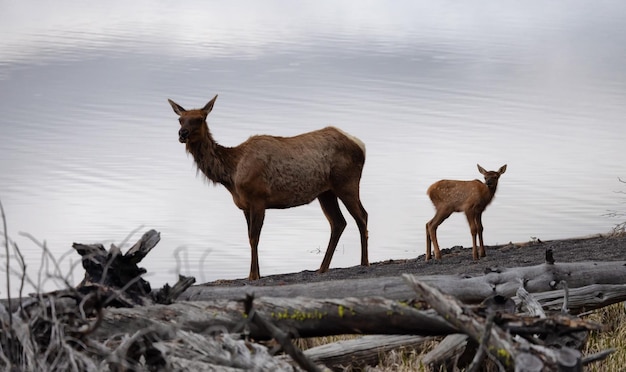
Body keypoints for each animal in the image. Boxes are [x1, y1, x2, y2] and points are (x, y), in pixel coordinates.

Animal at [168, 94, 368, 280]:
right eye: (180, 119)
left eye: (200, 119)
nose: (182, 133)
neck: (232, 175)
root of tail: (361, 145)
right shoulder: (245, 206)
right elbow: (250, 237)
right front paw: (255, 274)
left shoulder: (258, 199)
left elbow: (254, 237)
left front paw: (253, 275)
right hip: (326, 192)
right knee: (338, 222)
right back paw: (322, 268)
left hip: (347, 183)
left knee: (362, 216)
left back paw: (364, 262)